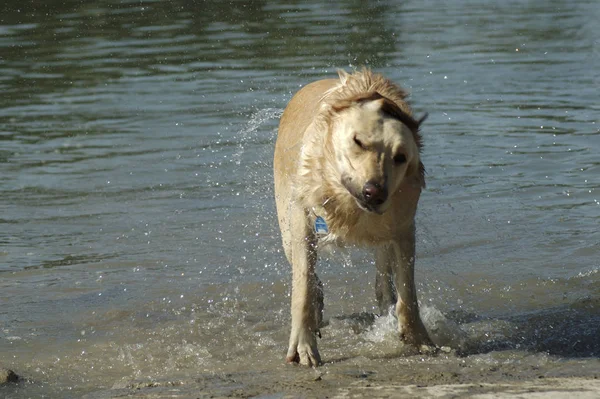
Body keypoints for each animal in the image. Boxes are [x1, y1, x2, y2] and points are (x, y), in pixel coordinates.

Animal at [272, 67, 432, 368]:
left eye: (401, 157)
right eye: (359, 142)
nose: (374, 193)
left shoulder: (404, 226)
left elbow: (408, 288)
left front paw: (419, 337)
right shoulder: (301, 219)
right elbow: (303, 287)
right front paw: (303, 346)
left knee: (384, 280)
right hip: (286, 229)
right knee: (308, 276)